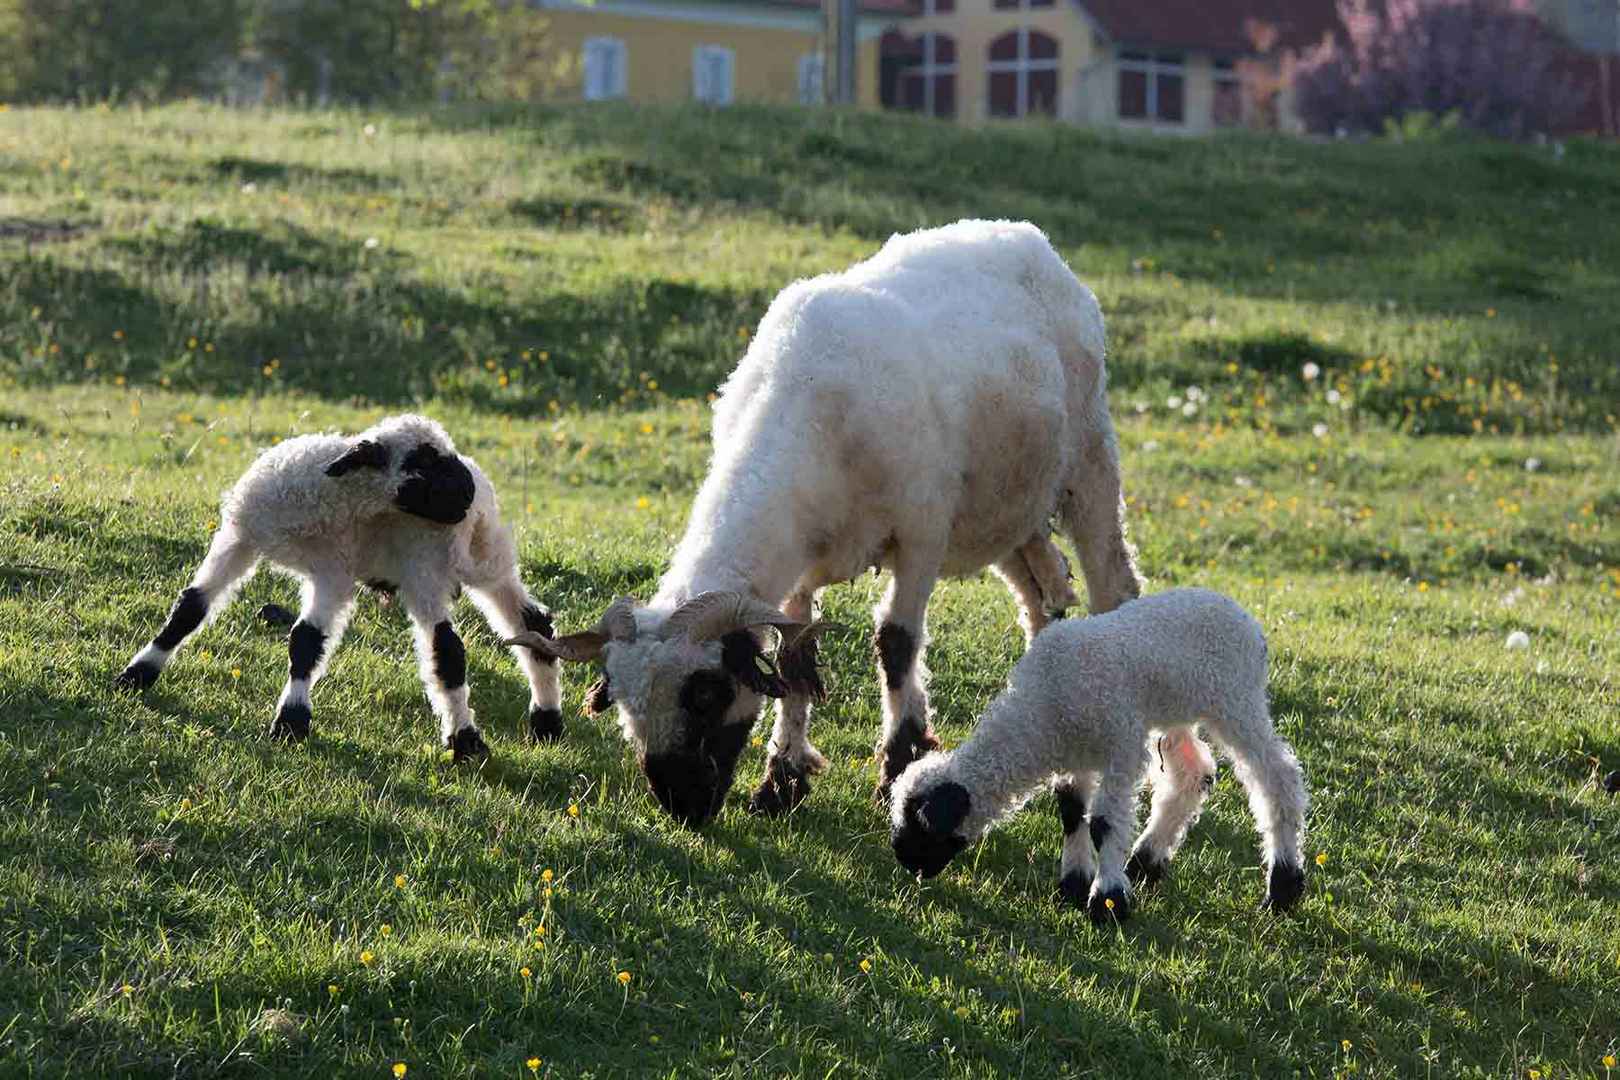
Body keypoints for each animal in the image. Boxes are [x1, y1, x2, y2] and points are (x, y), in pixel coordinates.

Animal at [110, 414, 560, 761]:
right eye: (423, 462)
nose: (464, 492)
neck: (321, 489)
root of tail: (479, 509)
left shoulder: (333, 572)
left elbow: (306, 640)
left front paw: (291, 720)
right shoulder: (240, 539)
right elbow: (191, 608)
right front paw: (138, 673)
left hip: (432, 567)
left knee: (447, 650)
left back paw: (466, 739)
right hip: (479, 561)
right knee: (533, 624)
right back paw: (546, 722)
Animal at [505, 216, 1140, 829]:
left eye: (705, 694)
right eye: (622, 701)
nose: (682, 805)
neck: (807, 415)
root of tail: (1029, 239)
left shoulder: (922, 532)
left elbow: (895, 643)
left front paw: (896, 771)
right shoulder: (798, 563)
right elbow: (794, 659)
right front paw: (781, 782)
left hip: (1088, 459)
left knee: (1116, 587)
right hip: (1008, 514)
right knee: (1040, 605)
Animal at [894, 586, 1308, 926]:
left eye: (921, 822)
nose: (905, 860)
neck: (1041, 712)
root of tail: (1247, 619)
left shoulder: (1121, 743)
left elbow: (1103, 823)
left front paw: (1107, 902)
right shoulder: (1075, 754)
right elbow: (1071, 812)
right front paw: (1074, 885)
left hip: (1235, 700)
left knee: (1277, 776)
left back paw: (1282, 887)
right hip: (1173, 709)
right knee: (1194, 774)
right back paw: (1145, 862)